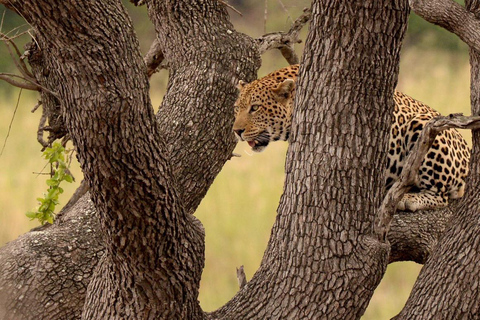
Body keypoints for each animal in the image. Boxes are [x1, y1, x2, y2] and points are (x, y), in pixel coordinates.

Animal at [234, 63, 470, 211]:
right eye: (237, 108)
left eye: (255, 108)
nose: (237, 131)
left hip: (424, 126)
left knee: (442, 195)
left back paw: (409, 198)